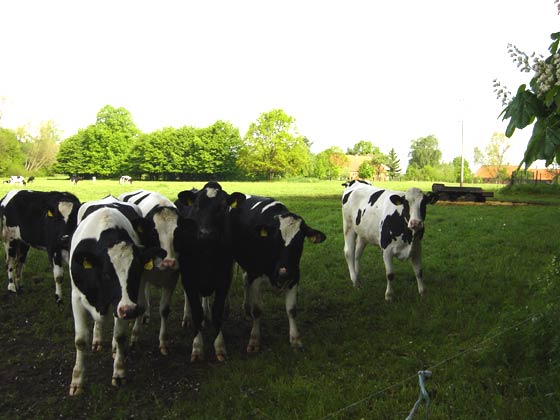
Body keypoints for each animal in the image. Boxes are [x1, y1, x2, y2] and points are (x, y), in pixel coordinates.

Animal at [68, 205, 164, 396]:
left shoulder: (122, 303)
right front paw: (77, 380)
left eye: (136, 272)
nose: (129, 310)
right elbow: (80, 340)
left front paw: (119, 372)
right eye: (106, 274)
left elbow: (120, 336)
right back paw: (98, 340)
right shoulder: (76, 298)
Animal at [119, 190, 183, 354]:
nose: (169, 262)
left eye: (178, 234)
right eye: (154, 234)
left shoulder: (172, 278)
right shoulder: (141, 275)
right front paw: (134, 338)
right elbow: (140, 305)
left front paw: (163, 343)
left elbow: (164, 310)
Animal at [174, 182, 246, 362]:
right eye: (197, 206)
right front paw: (197, 347)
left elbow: (217, 311)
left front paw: (220, 346)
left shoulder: (224, 279)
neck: (207, 253)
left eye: (222, 206)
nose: (206, 234)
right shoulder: (189, 278)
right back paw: (187, 318)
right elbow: (196, 311)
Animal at [228, 195, 326, 352]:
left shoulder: (294, 276)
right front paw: (254, 340)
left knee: (244, 280)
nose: (283, 272)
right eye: (275, 238)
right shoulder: (256, 275)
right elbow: (257, 310)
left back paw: (246, 309)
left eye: (300, 240)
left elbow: (291, 310)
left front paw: (295, 339)